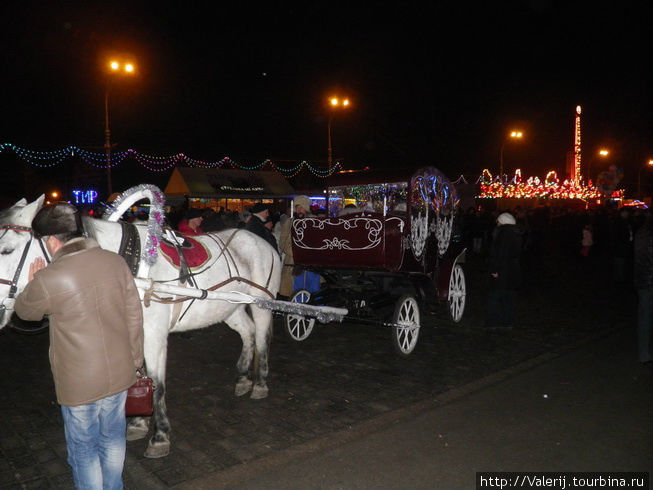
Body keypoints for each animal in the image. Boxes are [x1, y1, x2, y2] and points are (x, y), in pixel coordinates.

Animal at [0, 189, 278, 460]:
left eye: (6, 250)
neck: (129, 266)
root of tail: (266, 244)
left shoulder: (154, 336)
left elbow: (156, 383)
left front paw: (160, 436)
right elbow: (139, 374)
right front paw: (138, 423)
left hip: (261, 303)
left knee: (262, 338)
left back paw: (260, 383)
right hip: (230, 306)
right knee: (248, 333)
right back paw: (243, 378)